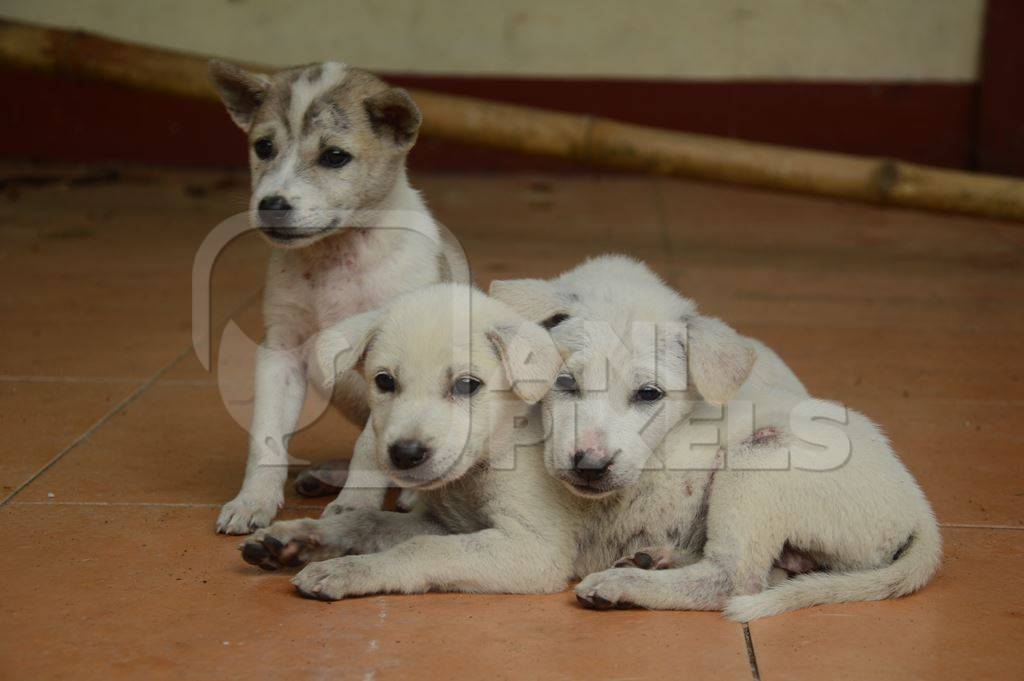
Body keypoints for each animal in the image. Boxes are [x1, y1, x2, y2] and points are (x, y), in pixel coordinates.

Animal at [208, 61, 468, 532]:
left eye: (334, 156)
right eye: (263, 147)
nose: (271, 205)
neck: (336, 255)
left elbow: (369, 449)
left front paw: (354, 508)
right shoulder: (280, 353)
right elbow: (266, 436)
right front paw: (252, 501)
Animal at [491, 254, 937, 614]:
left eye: (649, 393)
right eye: (564, 382)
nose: (590, 466)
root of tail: (918, 506)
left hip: (759, 462)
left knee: (733, 579)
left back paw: (623, 584)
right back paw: (652, 559)